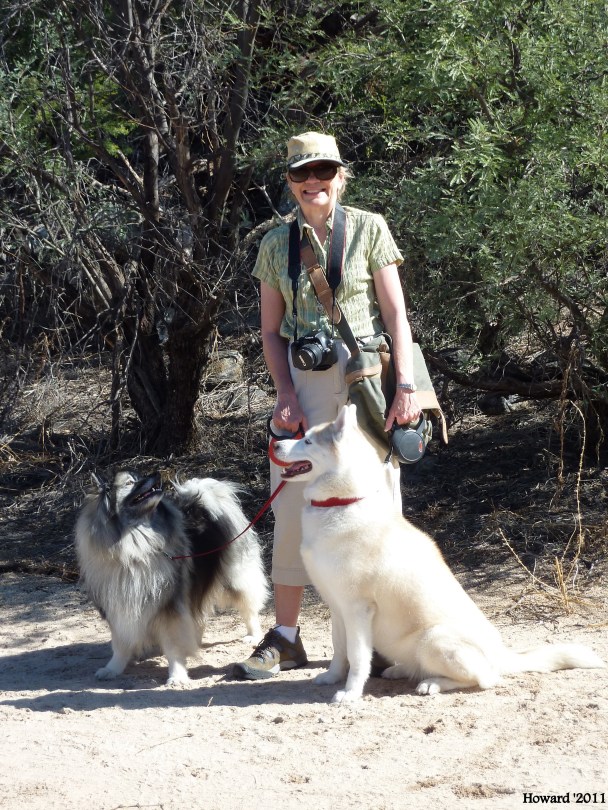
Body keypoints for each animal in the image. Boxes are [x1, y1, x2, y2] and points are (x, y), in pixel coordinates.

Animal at [75, 470, 269, 685]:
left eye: (138, 476)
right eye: (130, 482)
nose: (155, 474)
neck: (135, 544)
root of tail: (201, 505)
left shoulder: (170, 607)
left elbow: (173, 646)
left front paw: (177, 675)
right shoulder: (118, 606)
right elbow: (120, 644)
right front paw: (113, 668)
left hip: (234, 579)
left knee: (248, 608)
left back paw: (253, 635)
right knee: (198, 616)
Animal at [272, 403, 605, 703]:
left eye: (307, 441)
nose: (275, 443)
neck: (342, 502)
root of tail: (501, 654)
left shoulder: (357, 608)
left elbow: (357, 657)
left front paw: (351, 693)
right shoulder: (337, 606)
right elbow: (340, 651)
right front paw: (332, 677)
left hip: (433, 639)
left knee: (484, 679)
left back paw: (432, 683)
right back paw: (400, 671)